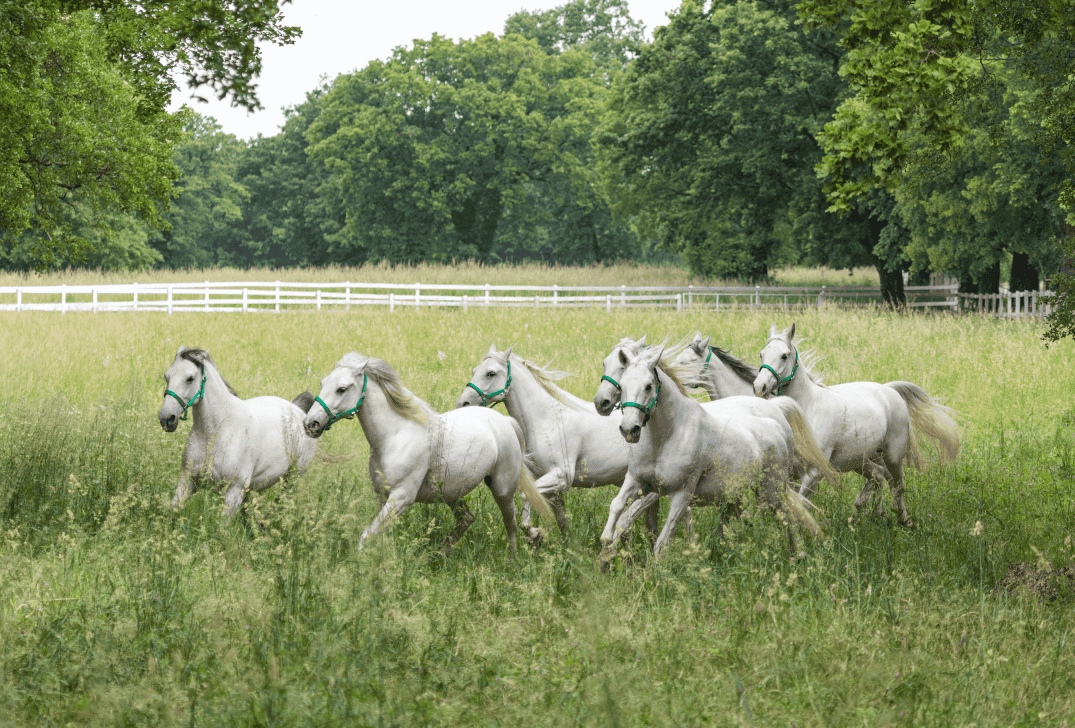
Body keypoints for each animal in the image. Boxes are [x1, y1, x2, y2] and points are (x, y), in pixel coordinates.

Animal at [159, 346, 317, 518]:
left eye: (190, 378)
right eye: (166, 376)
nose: (166, 418)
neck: (214, 433)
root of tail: (299, 411)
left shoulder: (234, 491)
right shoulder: (187, 479)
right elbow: (174, 509)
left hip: (292, 477)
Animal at [303, 352, 550, 555]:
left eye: (341, 389)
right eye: (323, 383)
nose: (310, 424)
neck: (394, 437)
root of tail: (505, 421)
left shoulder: (402, 497)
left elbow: (366, 535)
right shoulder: (382, 496)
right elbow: (383, 536)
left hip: (502, 487)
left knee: (511, 520)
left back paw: (514, 558)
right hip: (452, 493)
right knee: (467, 519)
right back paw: (440, 554)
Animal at [455, 344, 635, 538]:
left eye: (491, 373)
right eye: (474, 371)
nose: (462, 403)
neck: (546, 418)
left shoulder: (561, 477)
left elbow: (527, 495)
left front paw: (533, 532)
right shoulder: (551, 486)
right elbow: (562, 521)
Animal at [600, 344, 820, 561]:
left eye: (648, 386)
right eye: (622, 386)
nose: (630, 429)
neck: (666, 439)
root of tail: (777, 424)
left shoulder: (682, 494)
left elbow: (662, 543)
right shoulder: (637, 481)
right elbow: (617, 507)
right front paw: (606, 547)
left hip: (771, 491)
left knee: (787, 515)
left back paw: (797, 555)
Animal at [753, 324, 960, 526]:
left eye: (784, 355)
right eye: (761, 354)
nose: (759, 387)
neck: (808, 410)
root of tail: (889, 389)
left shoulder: (814, 472)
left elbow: (802, 503)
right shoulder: (788, 471)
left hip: (893, 455)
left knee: (897, 483)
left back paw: (902, 518)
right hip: (863, 458)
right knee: (879, 476)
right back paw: (871, 512)